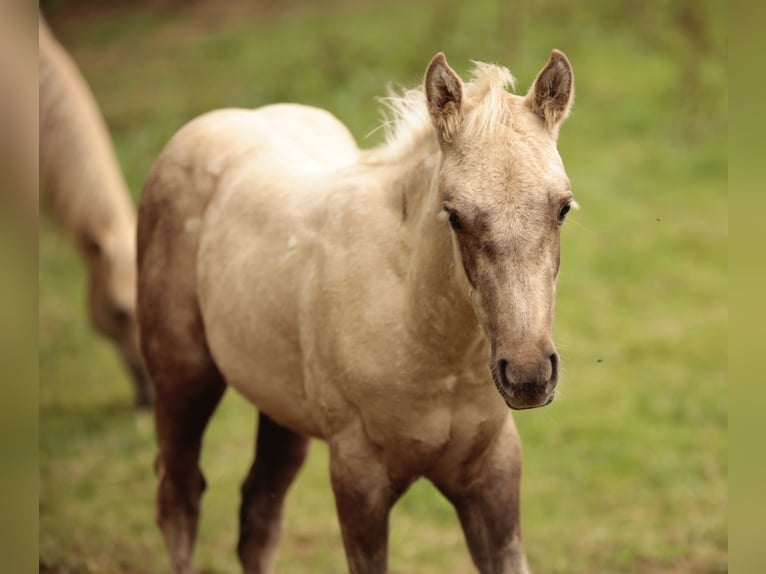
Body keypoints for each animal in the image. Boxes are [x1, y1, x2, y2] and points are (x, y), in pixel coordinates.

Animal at [138, 50, 576, 574]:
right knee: (179, 501)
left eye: (563, 208)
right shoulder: (359, 477)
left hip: (282, 413)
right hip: (184, 382)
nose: (528, 375)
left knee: (259, 515)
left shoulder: (493, 473)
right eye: (453, 215)